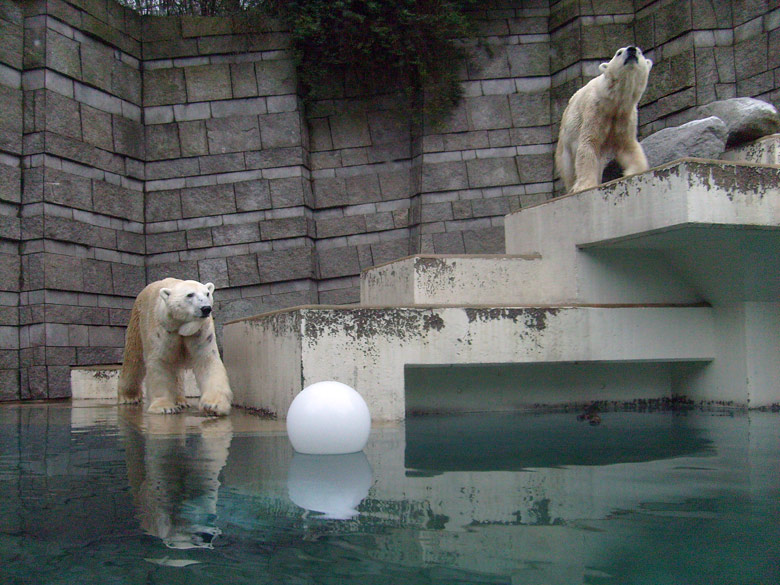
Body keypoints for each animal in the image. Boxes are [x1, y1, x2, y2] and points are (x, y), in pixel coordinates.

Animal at [116, 278, 232, 416]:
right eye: (190, 294)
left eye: (207, 294)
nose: (206, 308)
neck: (181, 326)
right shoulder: (163, 329)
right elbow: (161, 363)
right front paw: (165, 407)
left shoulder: (201, 331)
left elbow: (207, 360)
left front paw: (213, 405)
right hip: (138, 322)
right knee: (134, 358)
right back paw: (129, 397)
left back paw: (180, 400)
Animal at [556, 46, 652, 192]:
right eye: (619, 52)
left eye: (640, 52)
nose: (632, 50)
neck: (614, 101)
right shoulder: (595, 111)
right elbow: (589, 143)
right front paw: (585, 185)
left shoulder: (624, 116)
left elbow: (628, 146)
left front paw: (632, 172)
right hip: (565, 144)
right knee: (568, 169)